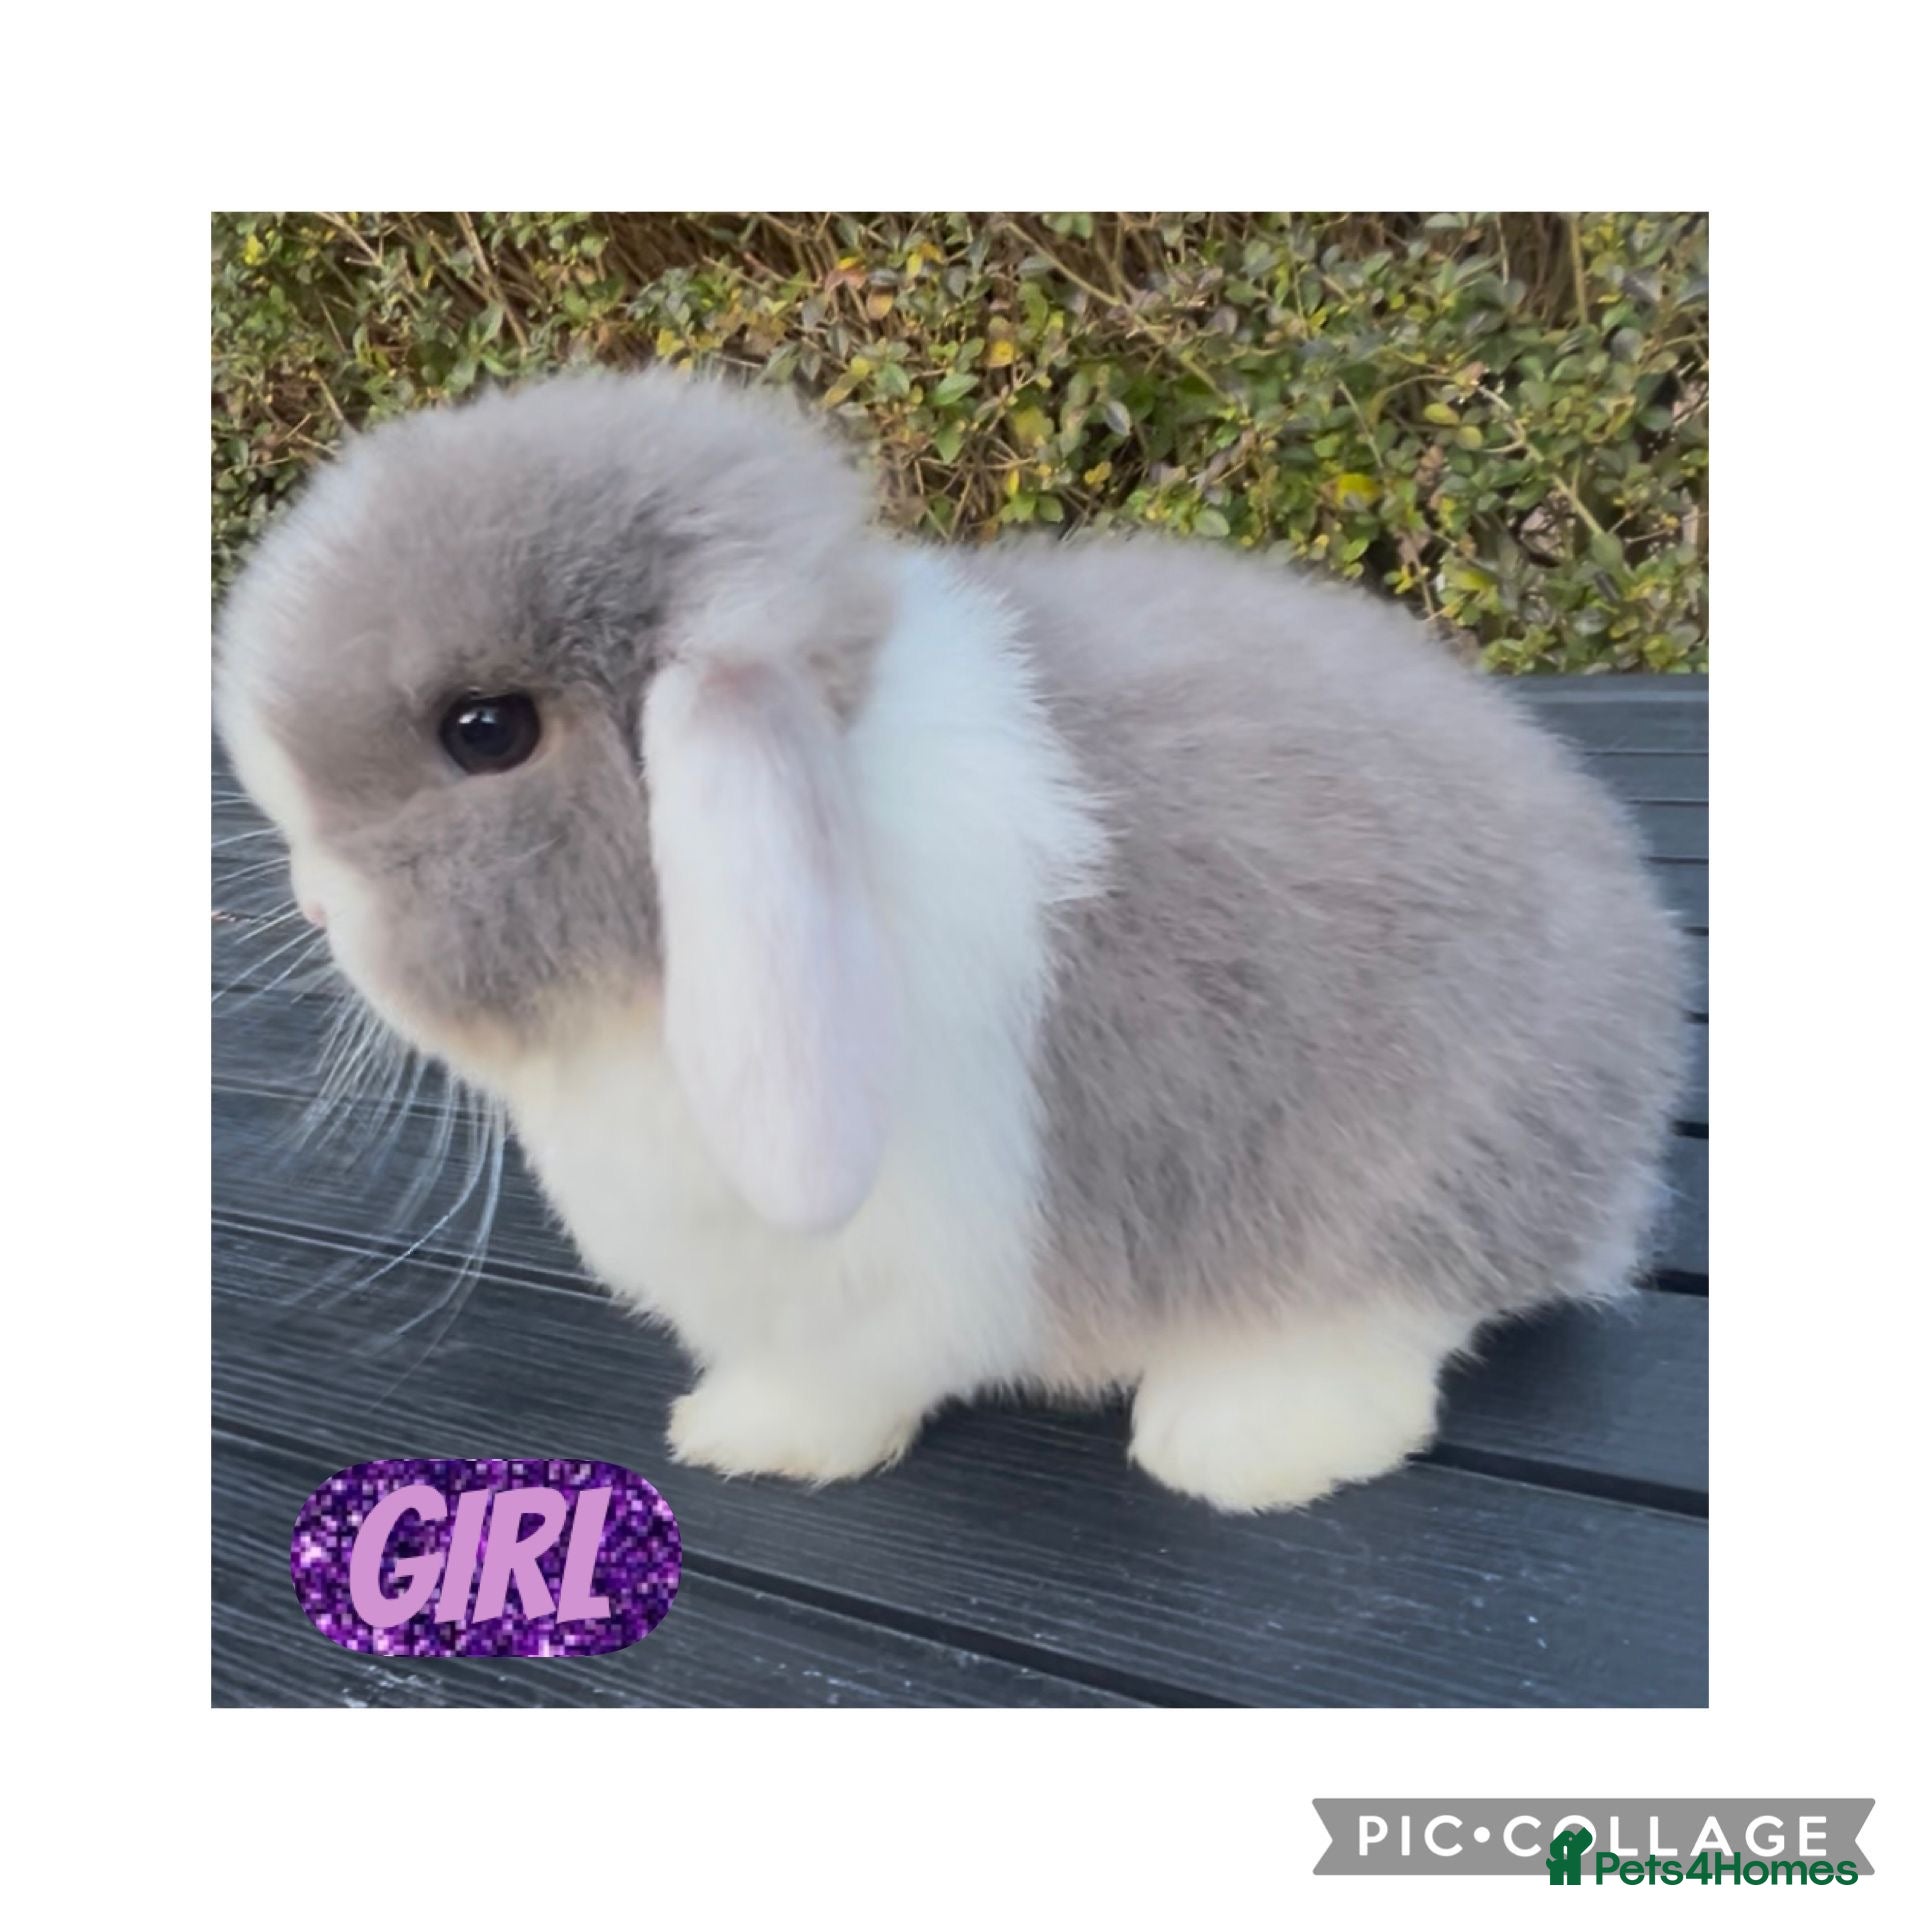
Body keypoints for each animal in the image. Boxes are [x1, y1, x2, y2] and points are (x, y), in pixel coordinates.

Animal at [215, 368, 1687, 1512]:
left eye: (486, 731)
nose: (316, 903)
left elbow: (847, 1373)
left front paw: (751, 1441)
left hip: (1407, 1171)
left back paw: (1241, 1440)